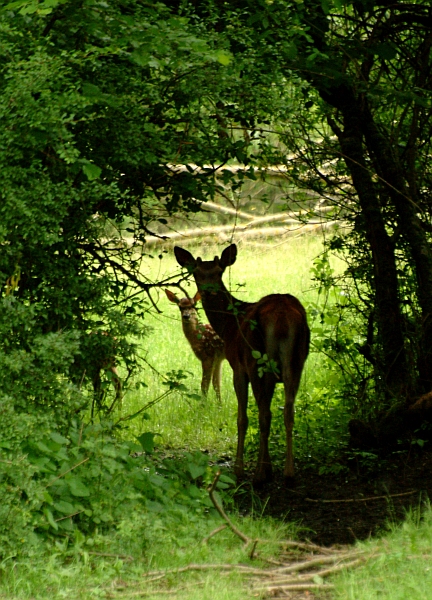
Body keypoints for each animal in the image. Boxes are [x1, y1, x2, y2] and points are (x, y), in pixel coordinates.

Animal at [174, 243, 308, 482]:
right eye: (197, 273)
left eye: (219, 272)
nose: (208, 291)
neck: (228, 326)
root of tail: (282, 318)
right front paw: (269, 466)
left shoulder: (238, 367)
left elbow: (242, 417)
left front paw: (240, 468)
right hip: (296, 362)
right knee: (288, 410)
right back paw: (288, 472)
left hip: (256, 361)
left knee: (264, 415)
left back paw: (258, 475)